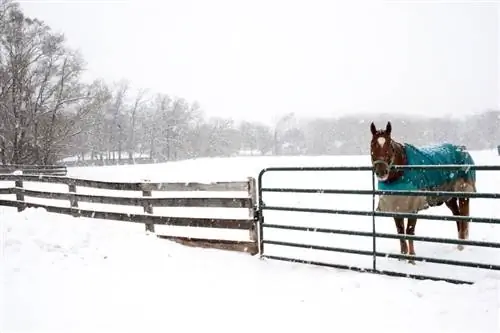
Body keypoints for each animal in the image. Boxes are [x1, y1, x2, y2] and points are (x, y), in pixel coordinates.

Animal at [372, 120, 476, 264]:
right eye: (372, 145)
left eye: (390, 146)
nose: (381, 172)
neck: (401, 172)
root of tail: (462, 149)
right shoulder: (395, 206)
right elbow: (400, 231)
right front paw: (402, 257)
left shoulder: (414, 206)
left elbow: (409, 231)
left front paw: (412, 259)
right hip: (449, 198)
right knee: (457, 216)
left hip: (463, 194)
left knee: (463, 218)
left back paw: (461, 247)